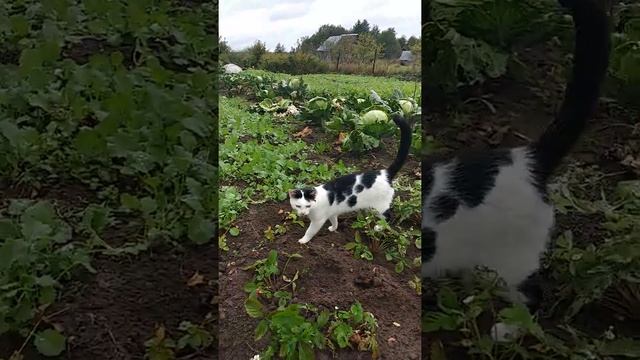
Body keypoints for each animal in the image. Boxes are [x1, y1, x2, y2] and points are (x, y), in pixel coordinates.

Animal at [288, 115, 412, 245]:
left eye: (307, 206)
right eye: (298, 206)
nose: (302, 213)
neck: (315, 204)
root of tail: (385, 173)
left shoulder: (318, 221)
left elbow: (310, 231)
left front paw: (303, 240)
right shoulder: (332, 213)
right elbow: (335, 221)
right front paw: (333, 228)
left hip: (381, 207)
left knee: (388, 217)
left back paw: (378, 227)